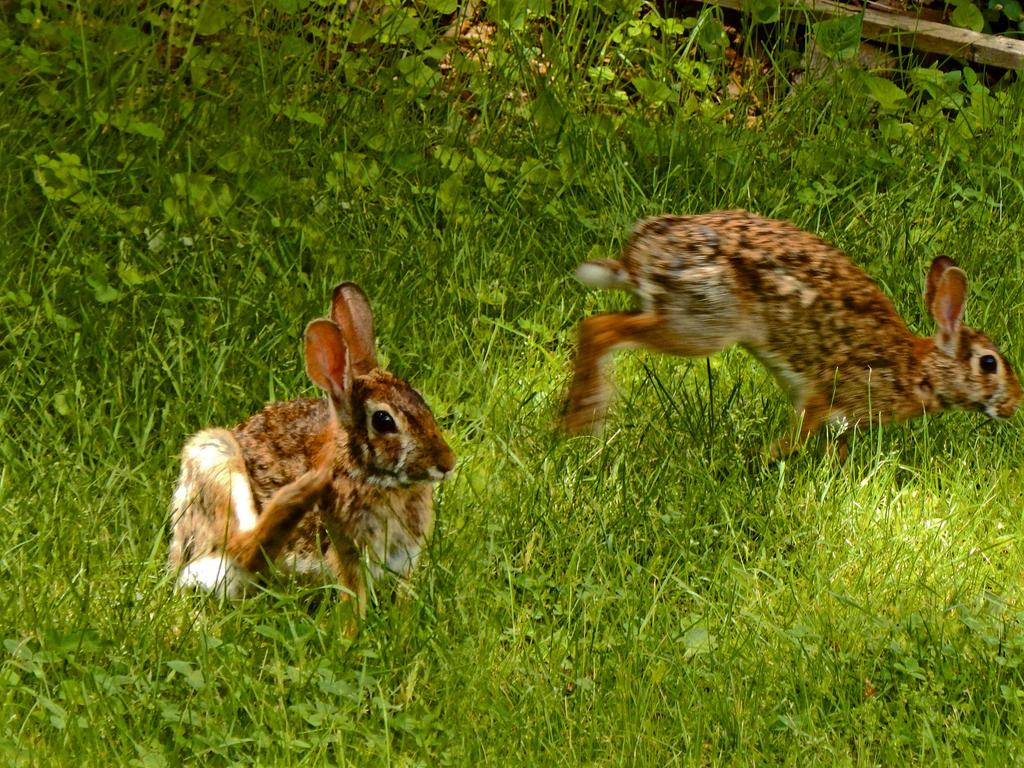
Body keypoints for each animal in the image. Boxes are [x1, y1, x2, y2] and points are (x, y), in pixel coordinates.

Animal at [167, 283, 456, 611]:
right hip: (215, 458)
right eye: (384, 421)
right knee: (244, 549)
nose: (447, 463)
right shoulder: (347, 554)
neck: (365, 474)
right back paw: (301, 492)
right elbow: (352, 596)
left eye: (421, 400)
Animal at [561, 210, 1021, 458]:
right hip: (699, 324)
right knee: (598, 329)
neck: (918, 370)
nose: (1015, 405)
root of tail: (642, 254)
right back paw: (579, 421)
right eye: (989, 363)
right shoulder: (832, 391)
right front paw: (764, 458)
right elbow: (802, 431)